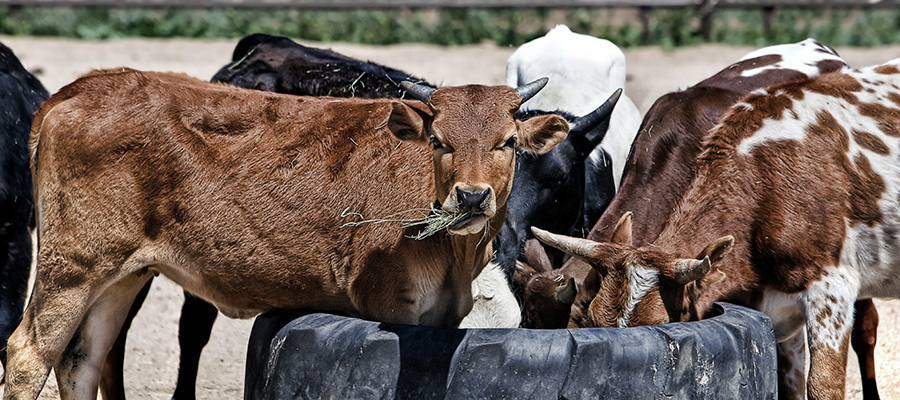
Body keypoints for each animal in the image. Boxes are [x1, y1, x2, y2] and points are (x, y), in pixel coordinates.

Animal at [3, 67, 568, 398]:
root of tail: (82, 87)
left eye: (509, 141)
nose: (470, 197)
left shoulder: (445, 315)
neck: (454, 253)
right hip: (72, 268)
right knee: (28, 355)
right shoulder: (389, 304)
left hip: (122, 274)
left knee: (82, 359)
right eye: (438, 140)